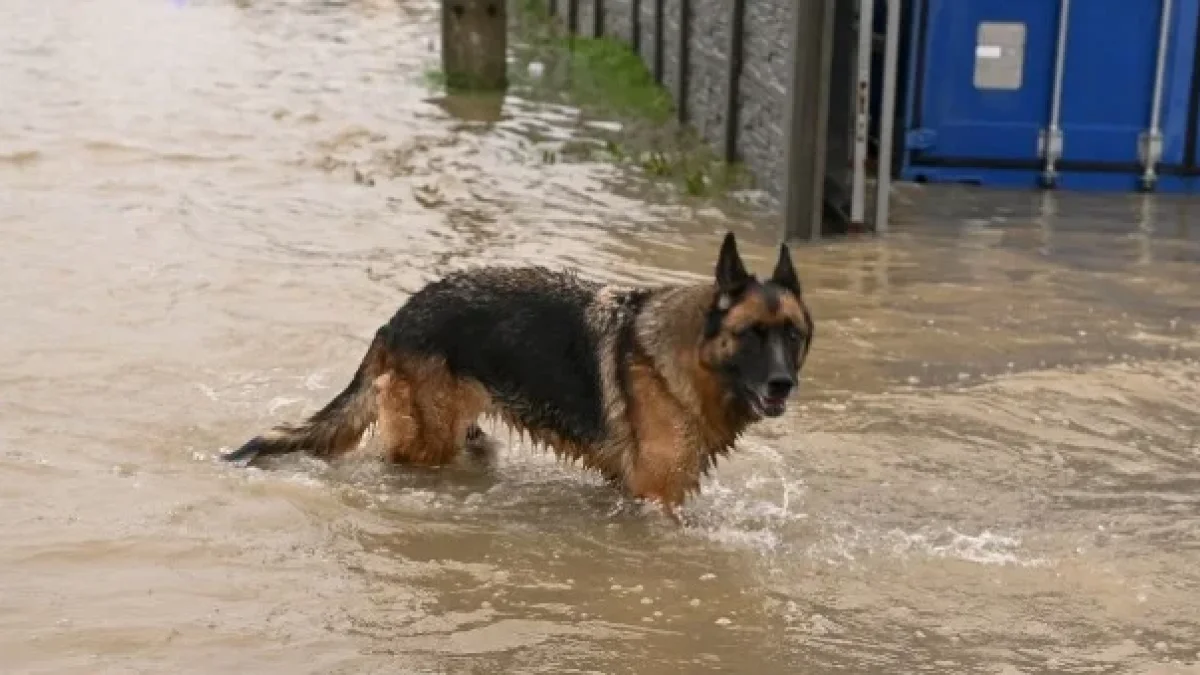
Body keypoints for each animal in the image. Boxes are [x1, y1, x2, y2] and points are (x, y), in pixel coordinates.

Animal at [220, 230, 811, 521]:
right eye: (752, 334)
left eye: (793, 335)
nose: (782, 384)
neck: (691, 356)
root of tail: (399, 316)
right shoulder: (655, 496)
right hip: (428, 443)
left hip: (465, 436)